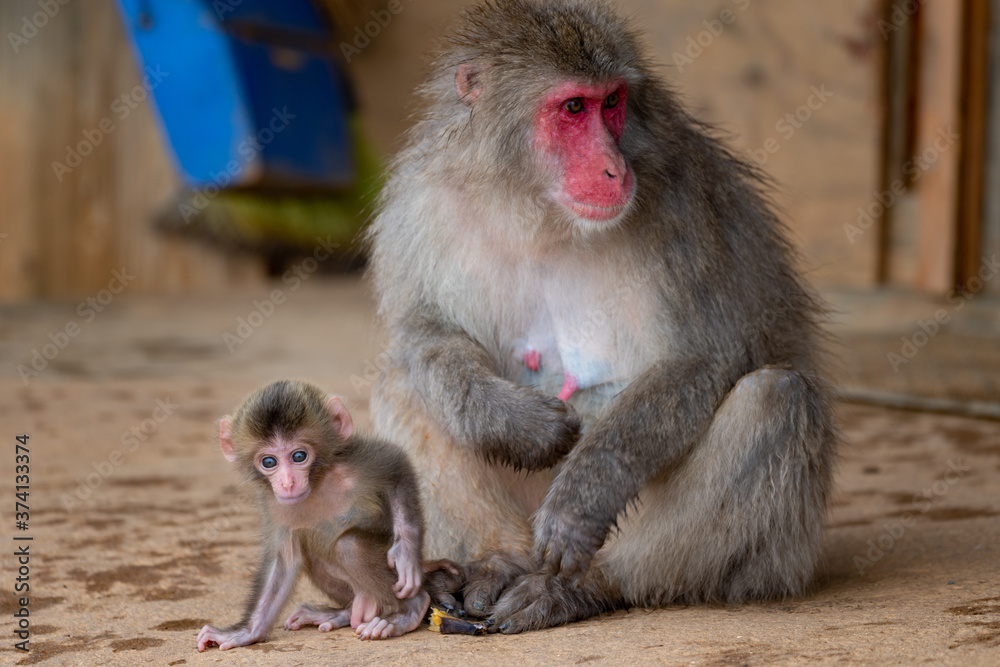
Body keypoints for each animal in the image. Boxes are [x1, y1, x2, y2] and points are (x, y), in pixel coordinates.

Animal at [196, 380, 429, 651]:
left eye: (299, 456)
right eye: (269, 462)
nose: (287, 483)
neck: (316, 482)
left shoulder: (355, 463)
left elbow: (397, 467)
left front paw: (405, 553)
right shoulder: (275, 504)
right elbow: (285, 560)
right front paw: (246, 631)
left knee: (351, 545)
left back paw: (408, 612)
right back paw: (343, 612)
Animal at [365, 0, 837, 634]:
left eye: (612, 102)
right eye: (573, 108)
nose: (614, 168)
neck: (537, 208)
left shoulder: (683, 206)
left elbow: (698, 359)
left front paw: (583, 499)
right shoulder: (418, 202)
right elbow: (424, 333)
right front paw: (510, 420)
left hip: (780, 557)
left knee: (776, 400)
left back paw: (584, 587)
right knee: (401, 383)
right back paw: (495, 560)